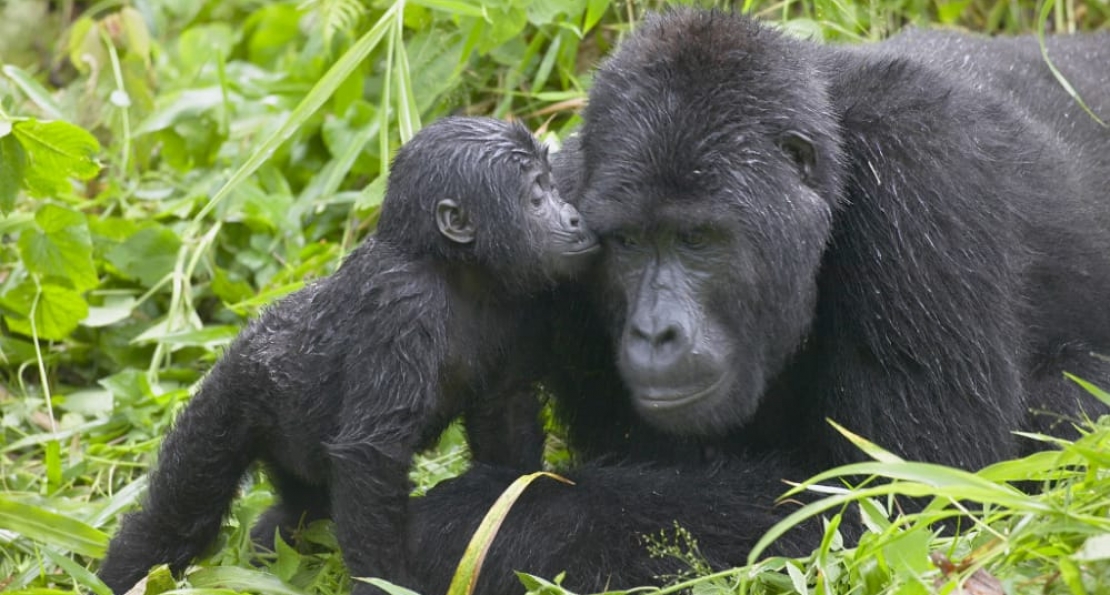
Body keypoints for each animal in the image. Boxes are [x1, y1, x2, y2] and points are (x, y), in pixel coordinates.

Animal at [97, 114, 599, 590]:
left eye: (552, 186)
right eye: (536, 197)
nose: (574, 217)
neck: (451, 267)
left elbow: (505, 416)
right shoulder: (402, 307)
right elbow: (370, 455)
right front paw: (385, 583)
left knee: (299, 512)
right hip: (230, 396)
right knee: (178, 517)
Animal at [408, 9, 1110, 595]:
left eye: (696, 239)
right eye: (627, 243)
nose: (654, 333)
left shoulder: (924, 171)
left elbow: (907, 499)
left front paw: (474, 521)